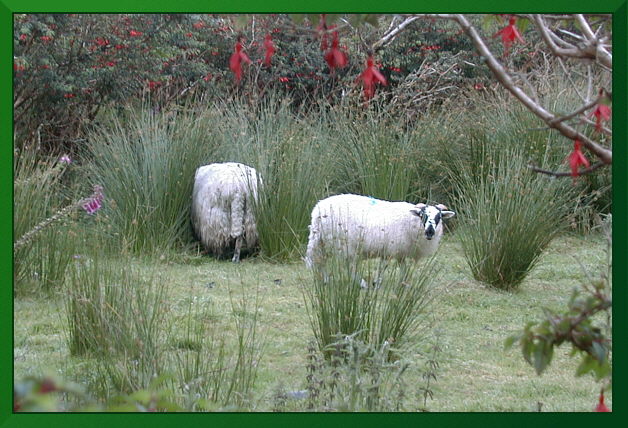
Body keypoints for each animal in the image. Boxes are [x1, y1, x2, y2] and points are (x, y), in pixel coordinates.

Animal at [306, 193, 456, 270]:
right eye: (423, 215)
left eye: (439, 217)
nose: (430, 232)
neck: (410, 220)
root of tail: (318, 209)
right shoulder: (390, 249)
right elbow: (382, 270)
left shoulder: (400, 252)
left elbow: (403, 270)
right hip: (342, 243)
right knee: (348, 268)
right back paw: (362, 284)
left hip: (322, 240)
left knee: (321, 261)